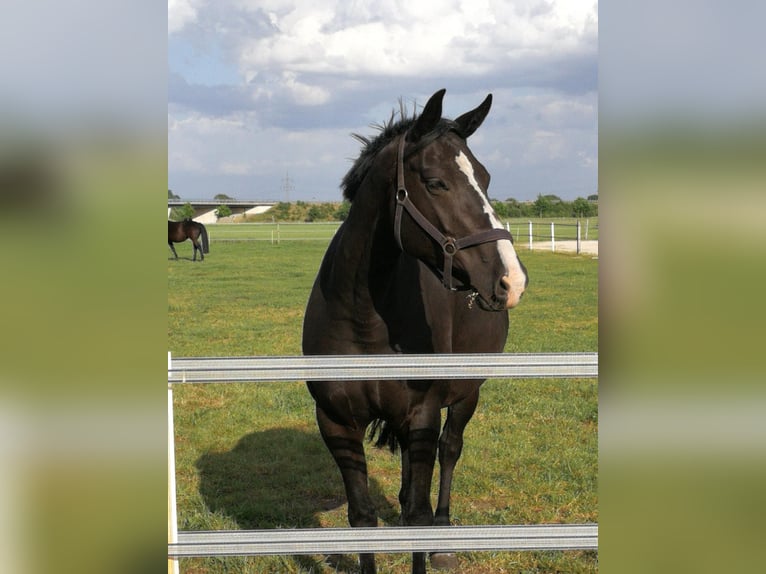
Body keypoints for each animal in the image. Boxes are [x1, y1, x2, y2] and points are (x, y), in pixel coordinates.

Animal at [304, 88, 528, 572]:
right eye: (435, 181)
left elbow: (418, 517)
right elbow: (362, 518)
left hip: (465, 394)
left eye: (485, 177)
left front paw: (430, 537)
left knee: (449, 451)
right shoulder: (335, 422)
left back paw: (444, 539)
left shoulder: (423, 413)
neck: (364, 317)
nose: (510, 280)